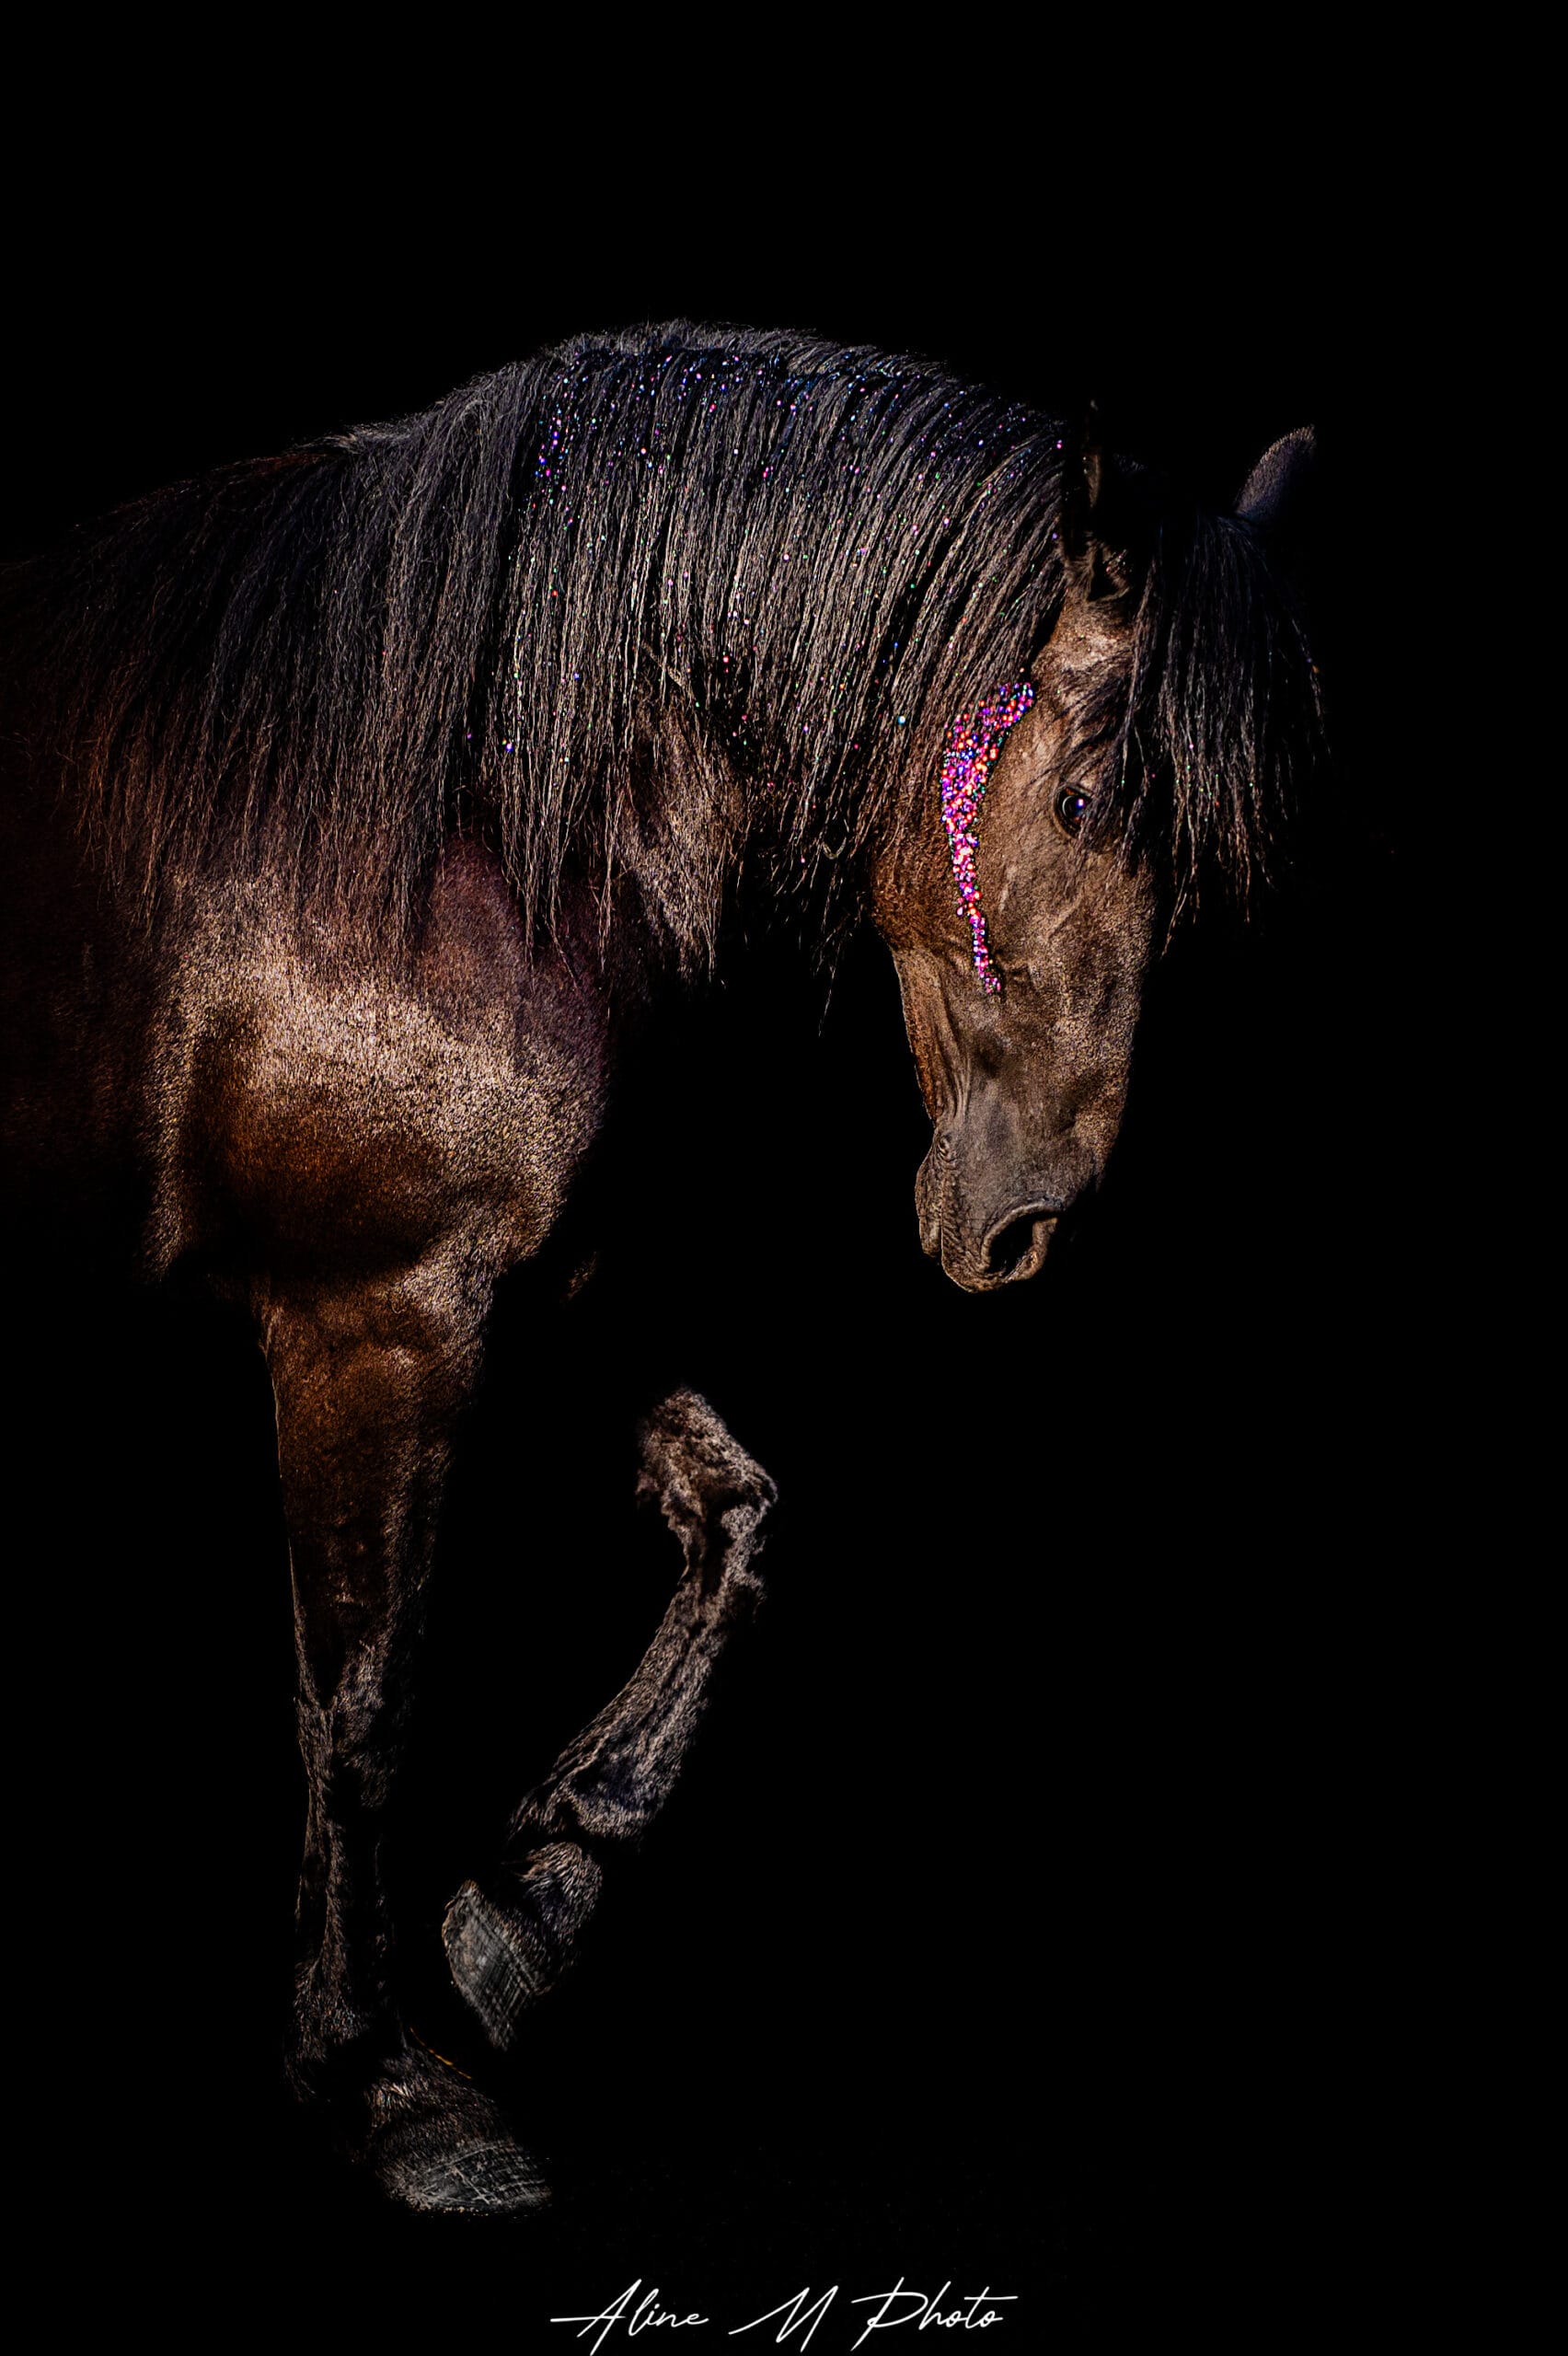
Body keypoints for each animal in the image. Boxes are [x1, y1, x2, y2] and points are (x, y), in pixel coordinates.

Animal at [0, 321, 1322, 2215]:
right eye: (1078, 800)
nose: (1020, 1225)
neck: (458, 820)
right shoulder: (372, 1321)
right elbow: (360, 1697)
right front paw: (380, 2085)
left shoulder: (548, 1294)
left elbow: (741, 1525)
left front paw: (529, 1906)